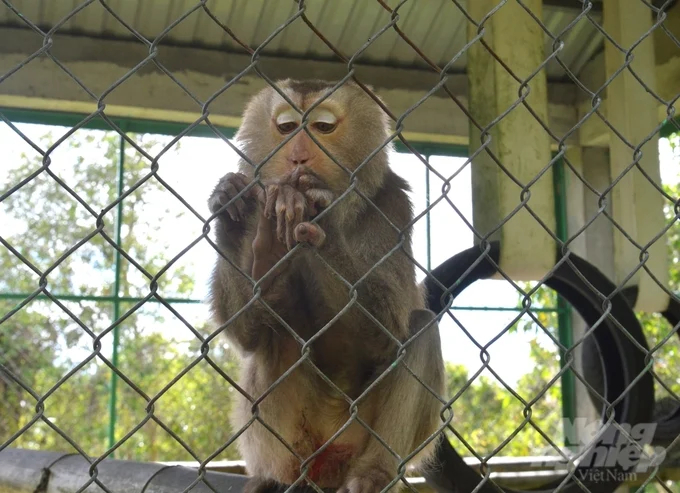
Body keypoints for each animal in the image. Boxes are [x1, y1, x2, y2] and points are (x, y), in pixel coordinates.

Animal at [207, 79, 446, 490]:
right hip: (282, 440)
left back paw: (374, 473)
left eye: (322, 127)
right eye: (287, 128)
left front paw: (323, 218)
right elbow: (248, 335)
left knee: (420, 328)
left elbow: (388, 337)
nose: (298, 158)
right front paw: (232, 212)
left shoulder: (392, 205)